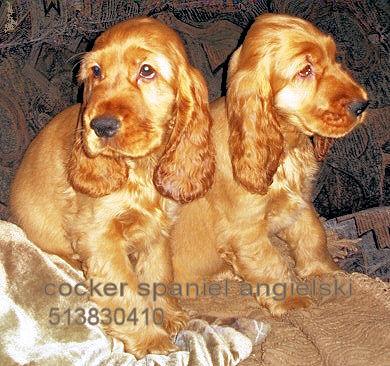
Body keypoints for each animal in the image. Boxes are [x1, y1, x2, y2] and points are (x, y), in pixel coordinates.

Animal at [9, 17, 215, 358]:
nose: (100, 126)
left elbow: (159, 274)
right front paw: (150, 339)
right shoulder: (99, 236)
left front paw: (168, 316)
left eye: (147, 70)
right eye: (96, 71)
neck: (141, 170)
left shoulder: (156, 233)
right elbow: (124, 290)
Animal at [171, 14, 368, 316]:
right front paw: (291, 301)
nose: (363, 105)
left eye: (335, 58)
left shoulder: (300, 203)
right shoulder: (244, 229)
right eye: (305, 71)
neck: (286, 148)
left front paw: (325, 271)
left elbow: (314, 236)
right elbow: (272, 263)